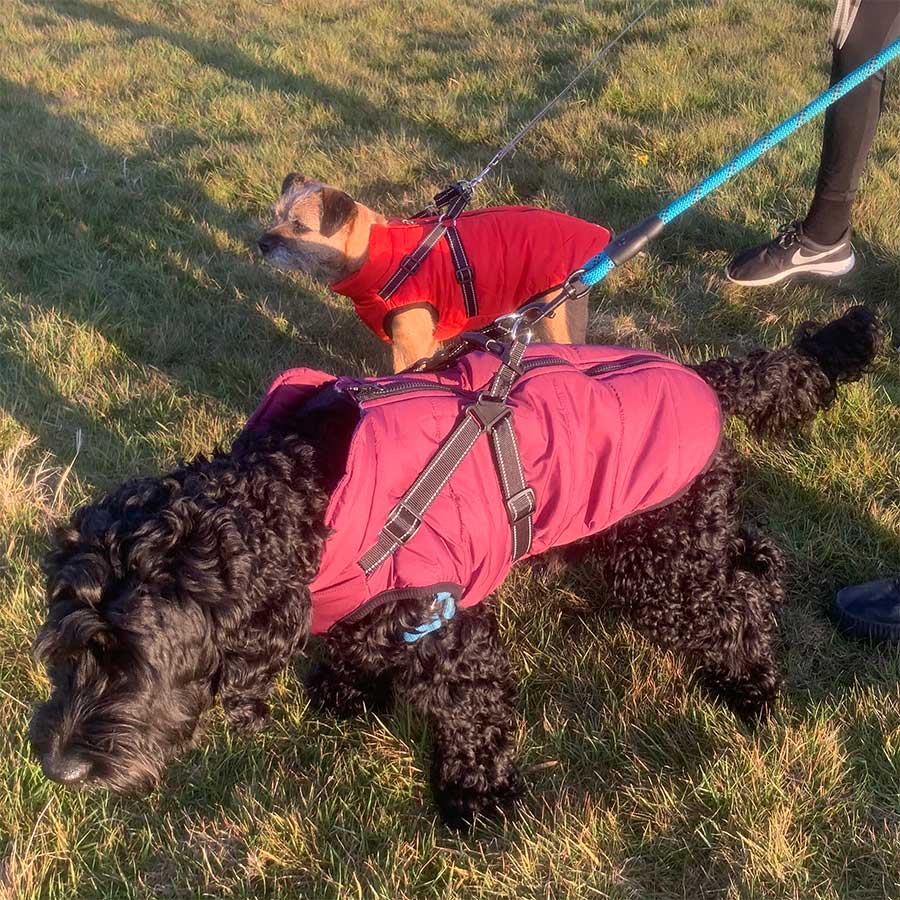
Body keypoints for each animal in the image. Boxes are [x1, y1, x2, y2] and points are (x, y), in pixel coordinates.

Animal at [29, 306, 880, 828]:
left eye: (133, 661)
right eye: (66, 658)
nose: (59, 768)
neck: (306, 497)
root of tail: (705, 376)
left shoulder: (442, 619)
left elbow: (472, 712)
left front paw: (479, 804)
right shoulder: (370, 599)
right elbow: (355, 643)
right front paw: (345, 693)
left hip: (661, 557)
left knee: (729, 607)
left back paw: (753, 692)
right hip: (681, 528)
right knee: (754, 560)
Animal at [256, 174, 616, 370]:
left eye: (300, 227)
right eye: (275, 215)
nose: (261, 243)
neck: (371, 252)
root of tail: (591, 232)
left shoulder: (410, 347)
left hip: (560, 319)